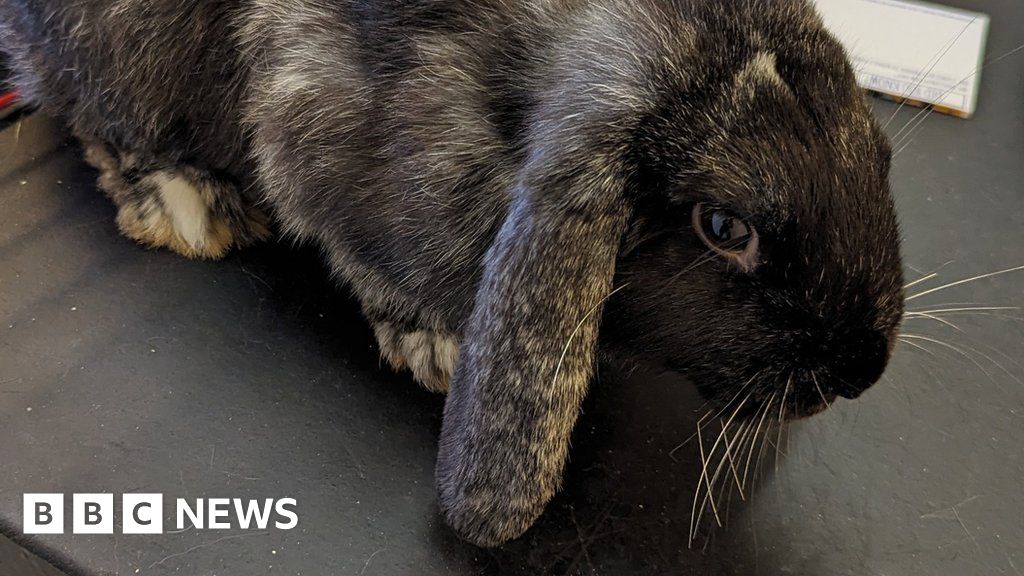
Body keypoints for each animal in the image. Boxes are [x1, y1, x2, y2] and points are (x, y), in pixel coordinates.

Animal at [0, 0, 905, 547]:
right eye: (724, 228)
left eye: (877, 152)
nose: (861, 370)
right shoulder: (309, 121)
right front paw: (435, 345)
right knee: (93, 115)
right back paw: (186, 200)